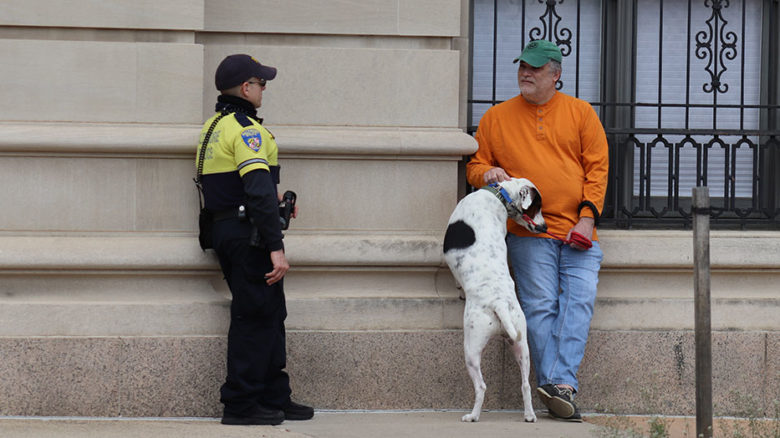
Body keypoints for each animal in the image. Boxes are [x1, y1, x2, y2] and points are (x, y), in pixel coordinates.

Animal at [442, 176, 544, 422]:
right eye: (537, 206)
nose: (545, 227)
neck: (498, 195)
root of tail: (499, 303)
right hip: (522, 345)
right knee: (525, 385)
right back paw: (529, 415)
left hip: (471, 347)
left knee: (481, 386)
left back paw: (472, 416)